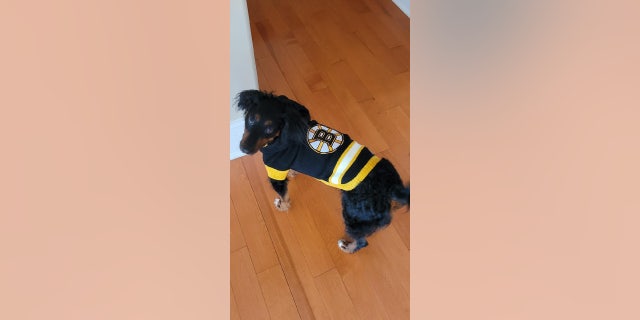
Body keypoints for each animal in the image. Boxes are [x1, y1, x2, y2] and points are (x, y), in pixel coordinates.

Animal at [236, 89, 410, 252]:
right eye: (251, 119)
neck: (281, 136)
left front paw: (283, 206)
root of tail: (391, 187)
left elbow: (284, 195)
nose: (244, 149)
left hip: (353, 215)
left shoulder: (276, 174)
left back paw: (347, 247)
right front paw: (292, 172)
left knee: (362, 241)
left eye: (270, 129)